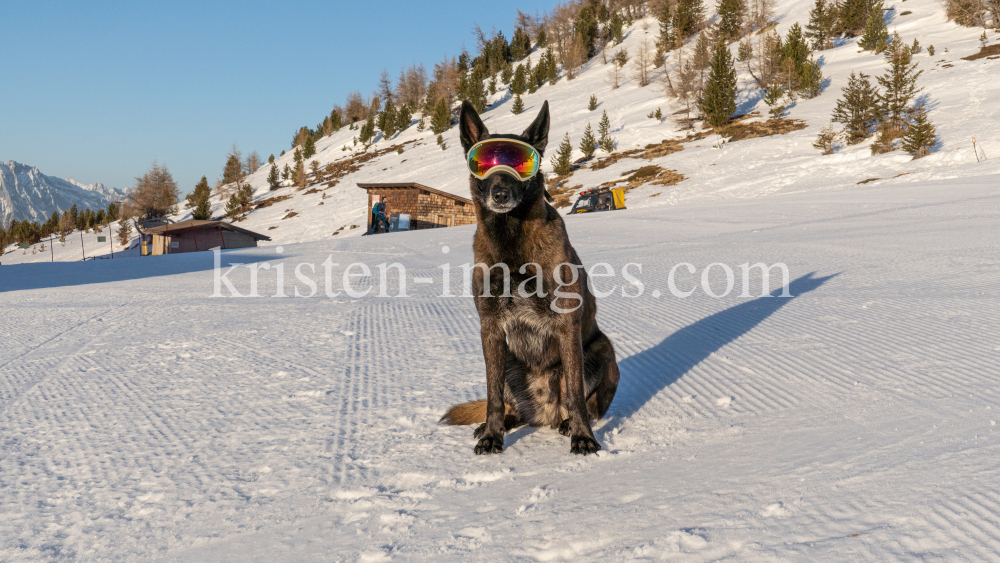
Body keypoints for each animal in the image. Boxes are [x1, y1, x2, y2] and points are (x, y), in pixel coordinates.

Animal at [442, 99, 620, 456]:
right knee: (508, 404)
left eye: (522, 163)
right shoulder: (490, 328)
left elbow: (576, 394)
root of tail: (544, 412)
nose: (500, 193)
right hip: (511, 361)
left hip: (602, 349)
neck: (512, 243)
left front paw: (583, 437)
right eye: (483, 163)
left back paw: (568, 424)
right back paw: (500, 423)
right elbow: (493, 396)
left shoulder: (567, 325)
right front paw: (491, 436)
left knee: (586, 402)